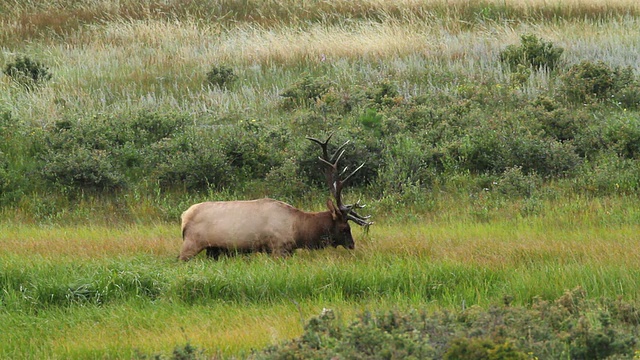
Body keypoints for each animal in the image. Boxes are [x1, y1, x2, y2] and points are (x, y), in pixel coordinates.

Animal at [178, 134, 372, 260]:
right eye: (345, 228)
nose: (352, 245)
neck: (299, 229)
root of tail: (184, 217)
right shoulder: (279, 248)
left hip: (214, 250)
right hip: (192, 244)